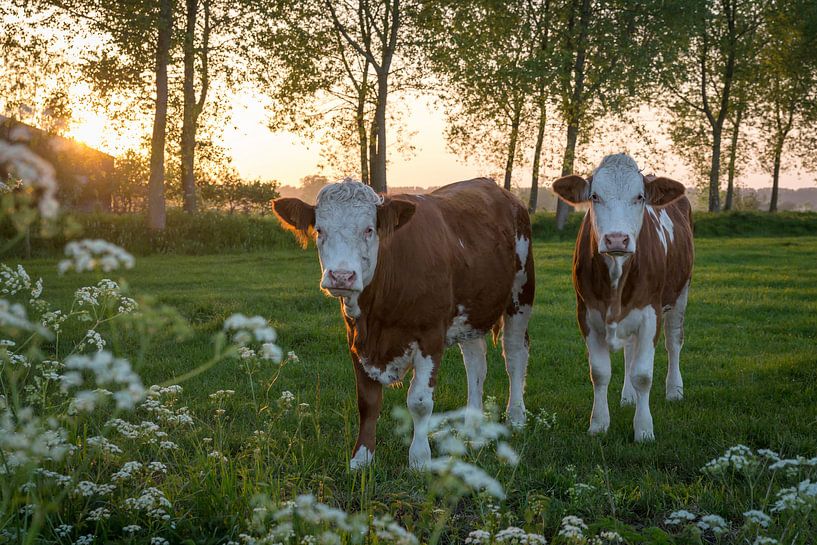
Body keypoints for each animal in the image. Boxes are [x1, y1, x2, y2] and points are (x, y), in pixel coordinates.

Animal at [273, 179, 535, 468]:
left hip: (521, 293)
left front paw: (419, 458)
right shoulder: (356, 339)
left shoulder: (430, 335)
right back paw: (471, 426)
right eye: (320, 230)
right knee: (475, 363)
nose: (341, 276)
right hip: (472, 308)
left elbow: (419, 401)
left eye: (369, 229)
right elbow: (367, 401)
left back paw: (516, 417)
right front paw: (362, 457)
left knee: (515, 354)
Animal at [552, 153, 693, 442]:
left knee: (674, 342)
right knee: (629, 350)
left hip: (681, 292)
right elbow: (600, 373)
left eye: (639, 197)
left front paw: (644, 429)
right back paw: (628, 397)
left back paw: (674, 390)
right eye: (594, 196)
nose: (617, 239)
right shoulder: (586, 314)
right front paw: (598, 424)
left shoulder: (650, 313)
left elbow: (643, 375)